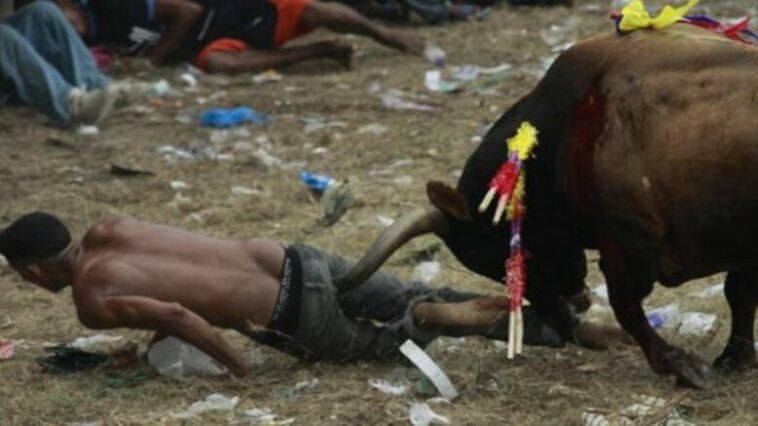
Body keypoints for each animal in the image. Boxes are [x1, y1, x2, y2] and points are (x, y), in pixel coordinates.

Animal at [340, 24, 758, 390]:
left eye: (503, 253)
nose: (564, 312)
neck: (566, 131)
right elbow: (738, 293)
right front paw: (734, 357)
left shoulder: (624, 247)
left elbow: (628, 309)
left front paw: (682, 365)